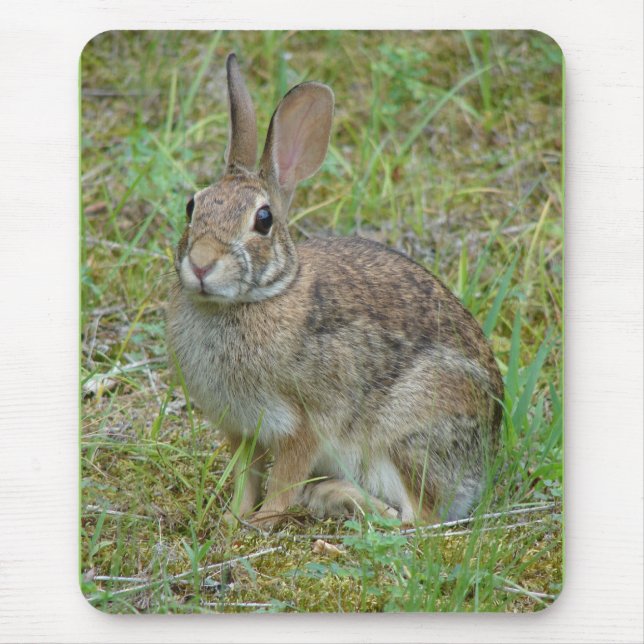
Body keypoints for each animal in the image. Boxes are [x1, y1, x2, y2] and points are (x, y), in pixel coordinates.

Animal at [166, 53, 503, 529]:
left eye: (263, 220)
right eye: (192, 205)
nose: (200, 263)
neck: (257, 298)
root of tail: (484, 463)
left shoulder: (302, 424)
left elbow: (282, 482)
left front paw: (261, 523)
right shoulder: (242, 429)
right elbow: (246, 478)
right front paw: (233, 521)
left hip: (407, 432)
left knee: (415, 518)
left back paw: (335, 495)